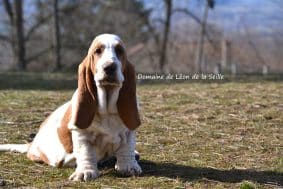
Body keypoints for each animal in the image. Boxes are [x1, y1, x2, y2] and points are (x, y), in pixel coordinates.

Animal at [0, 33, 142, 182]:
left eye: (119, 51)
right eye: (97, 51)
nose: (109, 67)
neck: (107, 108)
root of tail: (33, 143)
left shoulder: (129, 131)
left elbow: (127, 148)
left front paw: (129, 166)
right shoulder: (81, 134)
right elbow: (86, 153)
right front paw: (85, 172)